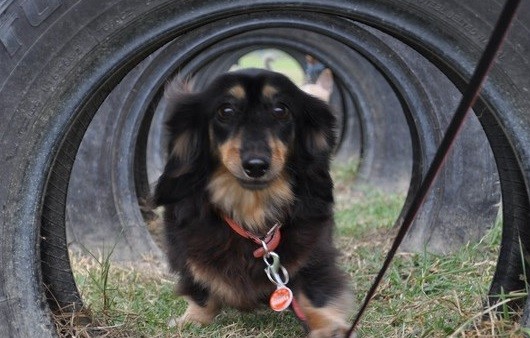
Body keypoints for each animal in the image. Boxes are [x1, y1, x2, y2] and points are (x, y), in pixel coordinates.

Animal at [152, 68, 350, 338]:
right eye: (225, 111)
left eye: (281, 110)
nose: (256, 166)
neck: (251, 211)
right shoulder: (184, 242)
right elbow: (200, 282)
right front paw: (192, 319)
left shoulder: (313, 249)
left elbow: (311, 289)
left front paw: (328, 326)